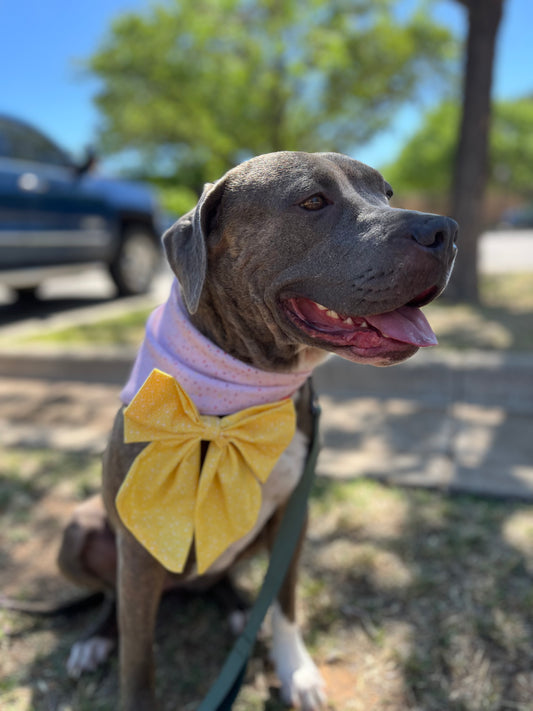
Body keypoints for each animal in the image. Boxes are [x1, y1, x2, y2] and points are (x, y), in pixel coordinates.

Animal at [59, 152, 458, 711]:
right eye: (313, 201)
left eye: (387, 193)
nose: (445, 230)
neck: (246, 394)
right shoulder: (137, 549)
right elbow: (138, 658)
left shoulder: (293, 516)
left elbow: (285, 601)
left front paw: (296, 671)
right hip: (79, 532)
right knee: (111, 596)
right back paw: (95, 638)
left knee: (221, 578)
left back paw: (238, 609)